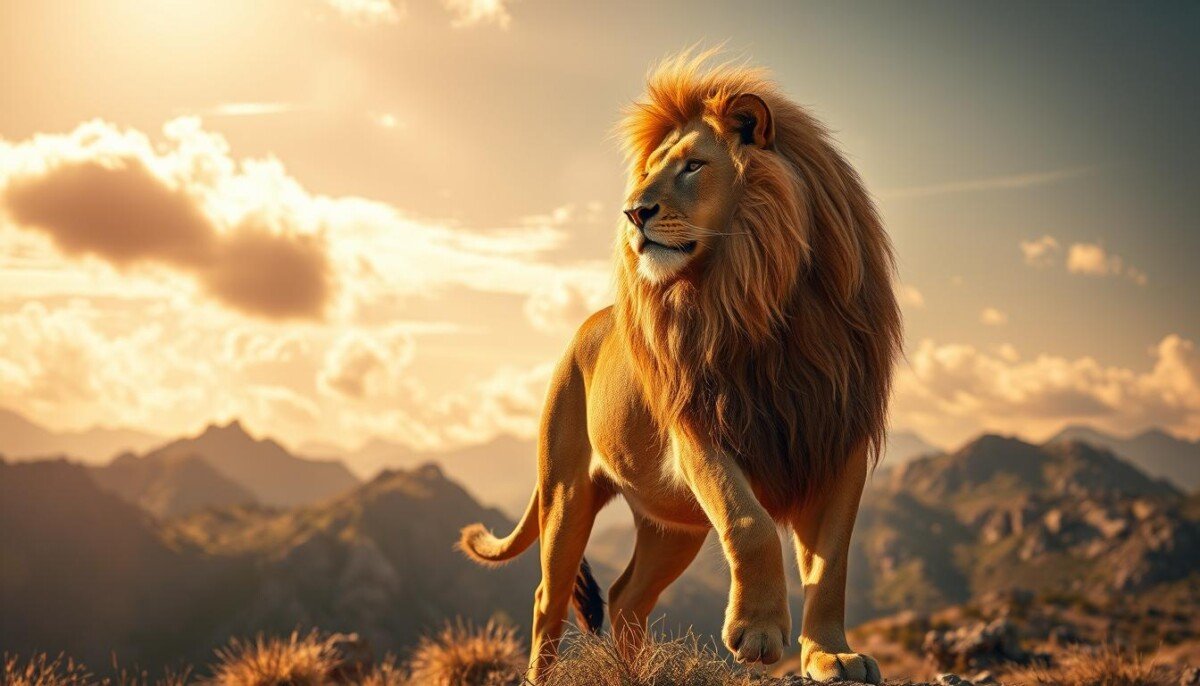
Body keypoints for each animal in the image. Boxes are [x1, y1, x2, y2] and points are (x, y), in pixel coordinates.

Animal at [460, 50, 901, 684]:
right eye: (648, 172)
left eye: (694, 166)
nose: (633, 211)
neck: (763, 298)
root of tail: (585, 327)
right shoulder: (699, 428)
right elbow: (750, 524)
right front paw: (757, 633)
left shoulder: (836, 435)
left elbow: (831, 563)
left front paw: (831, 654)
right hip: (566, 493)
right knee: (550, 596)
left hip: (672, 525)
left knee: (626, 598)